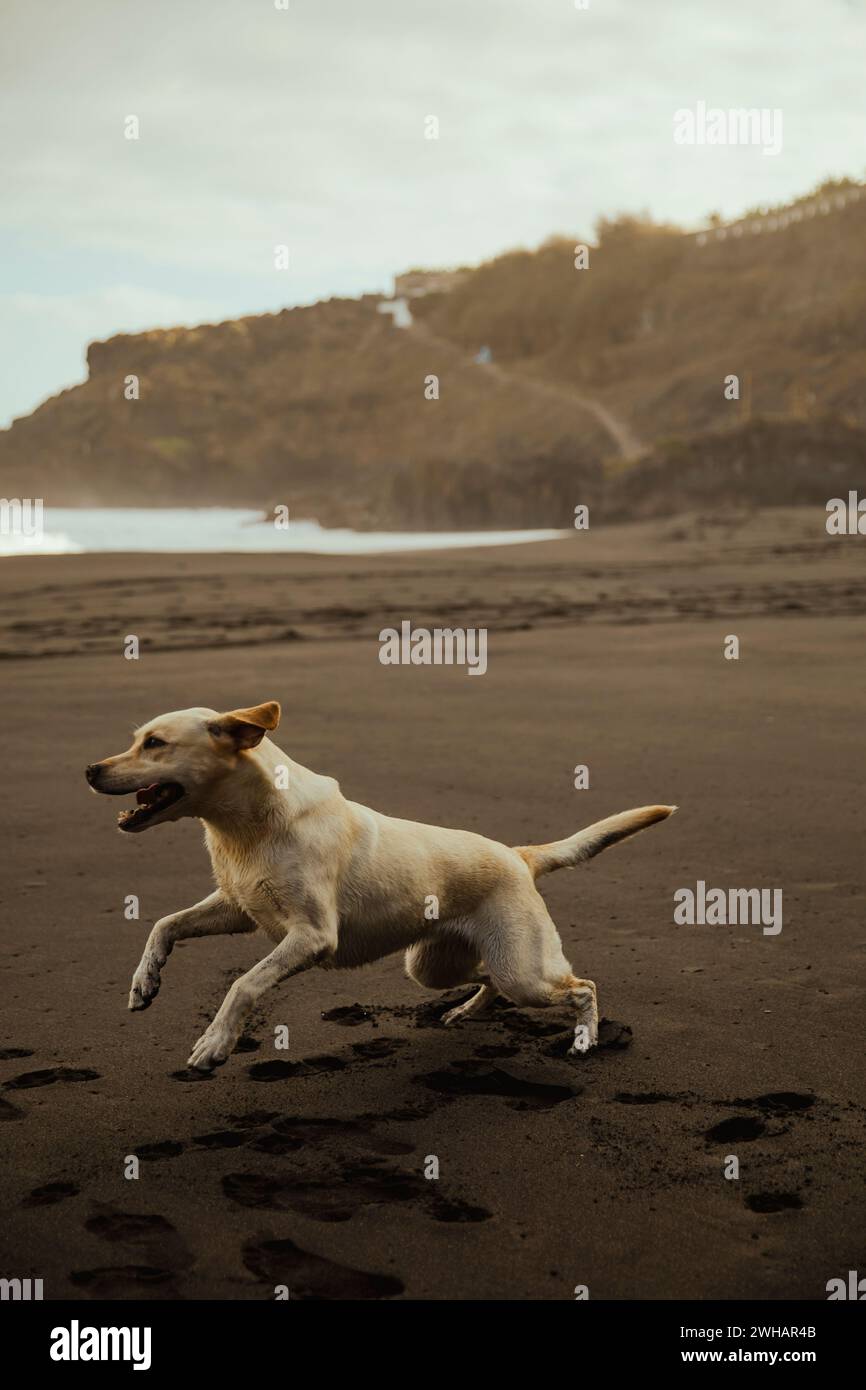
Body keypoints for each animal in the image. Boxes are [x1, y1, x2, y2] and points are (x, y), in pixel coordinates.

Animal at [83, 706, 678, 1073]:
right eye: (136, 740)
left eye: (154, 744)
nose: (89, 769)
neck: (245, 828)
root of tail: (518, 854)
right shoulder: (237, 908)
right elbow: (164, 925)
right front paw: (145, 983)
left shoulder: (312, 935)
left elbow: (243, 985)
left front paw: (214, 1045)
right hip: (434, 966)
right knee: (489, 980)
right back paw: (465, 1014)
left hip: (523, 970)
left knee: (583, 987)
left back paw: (584, 1039)